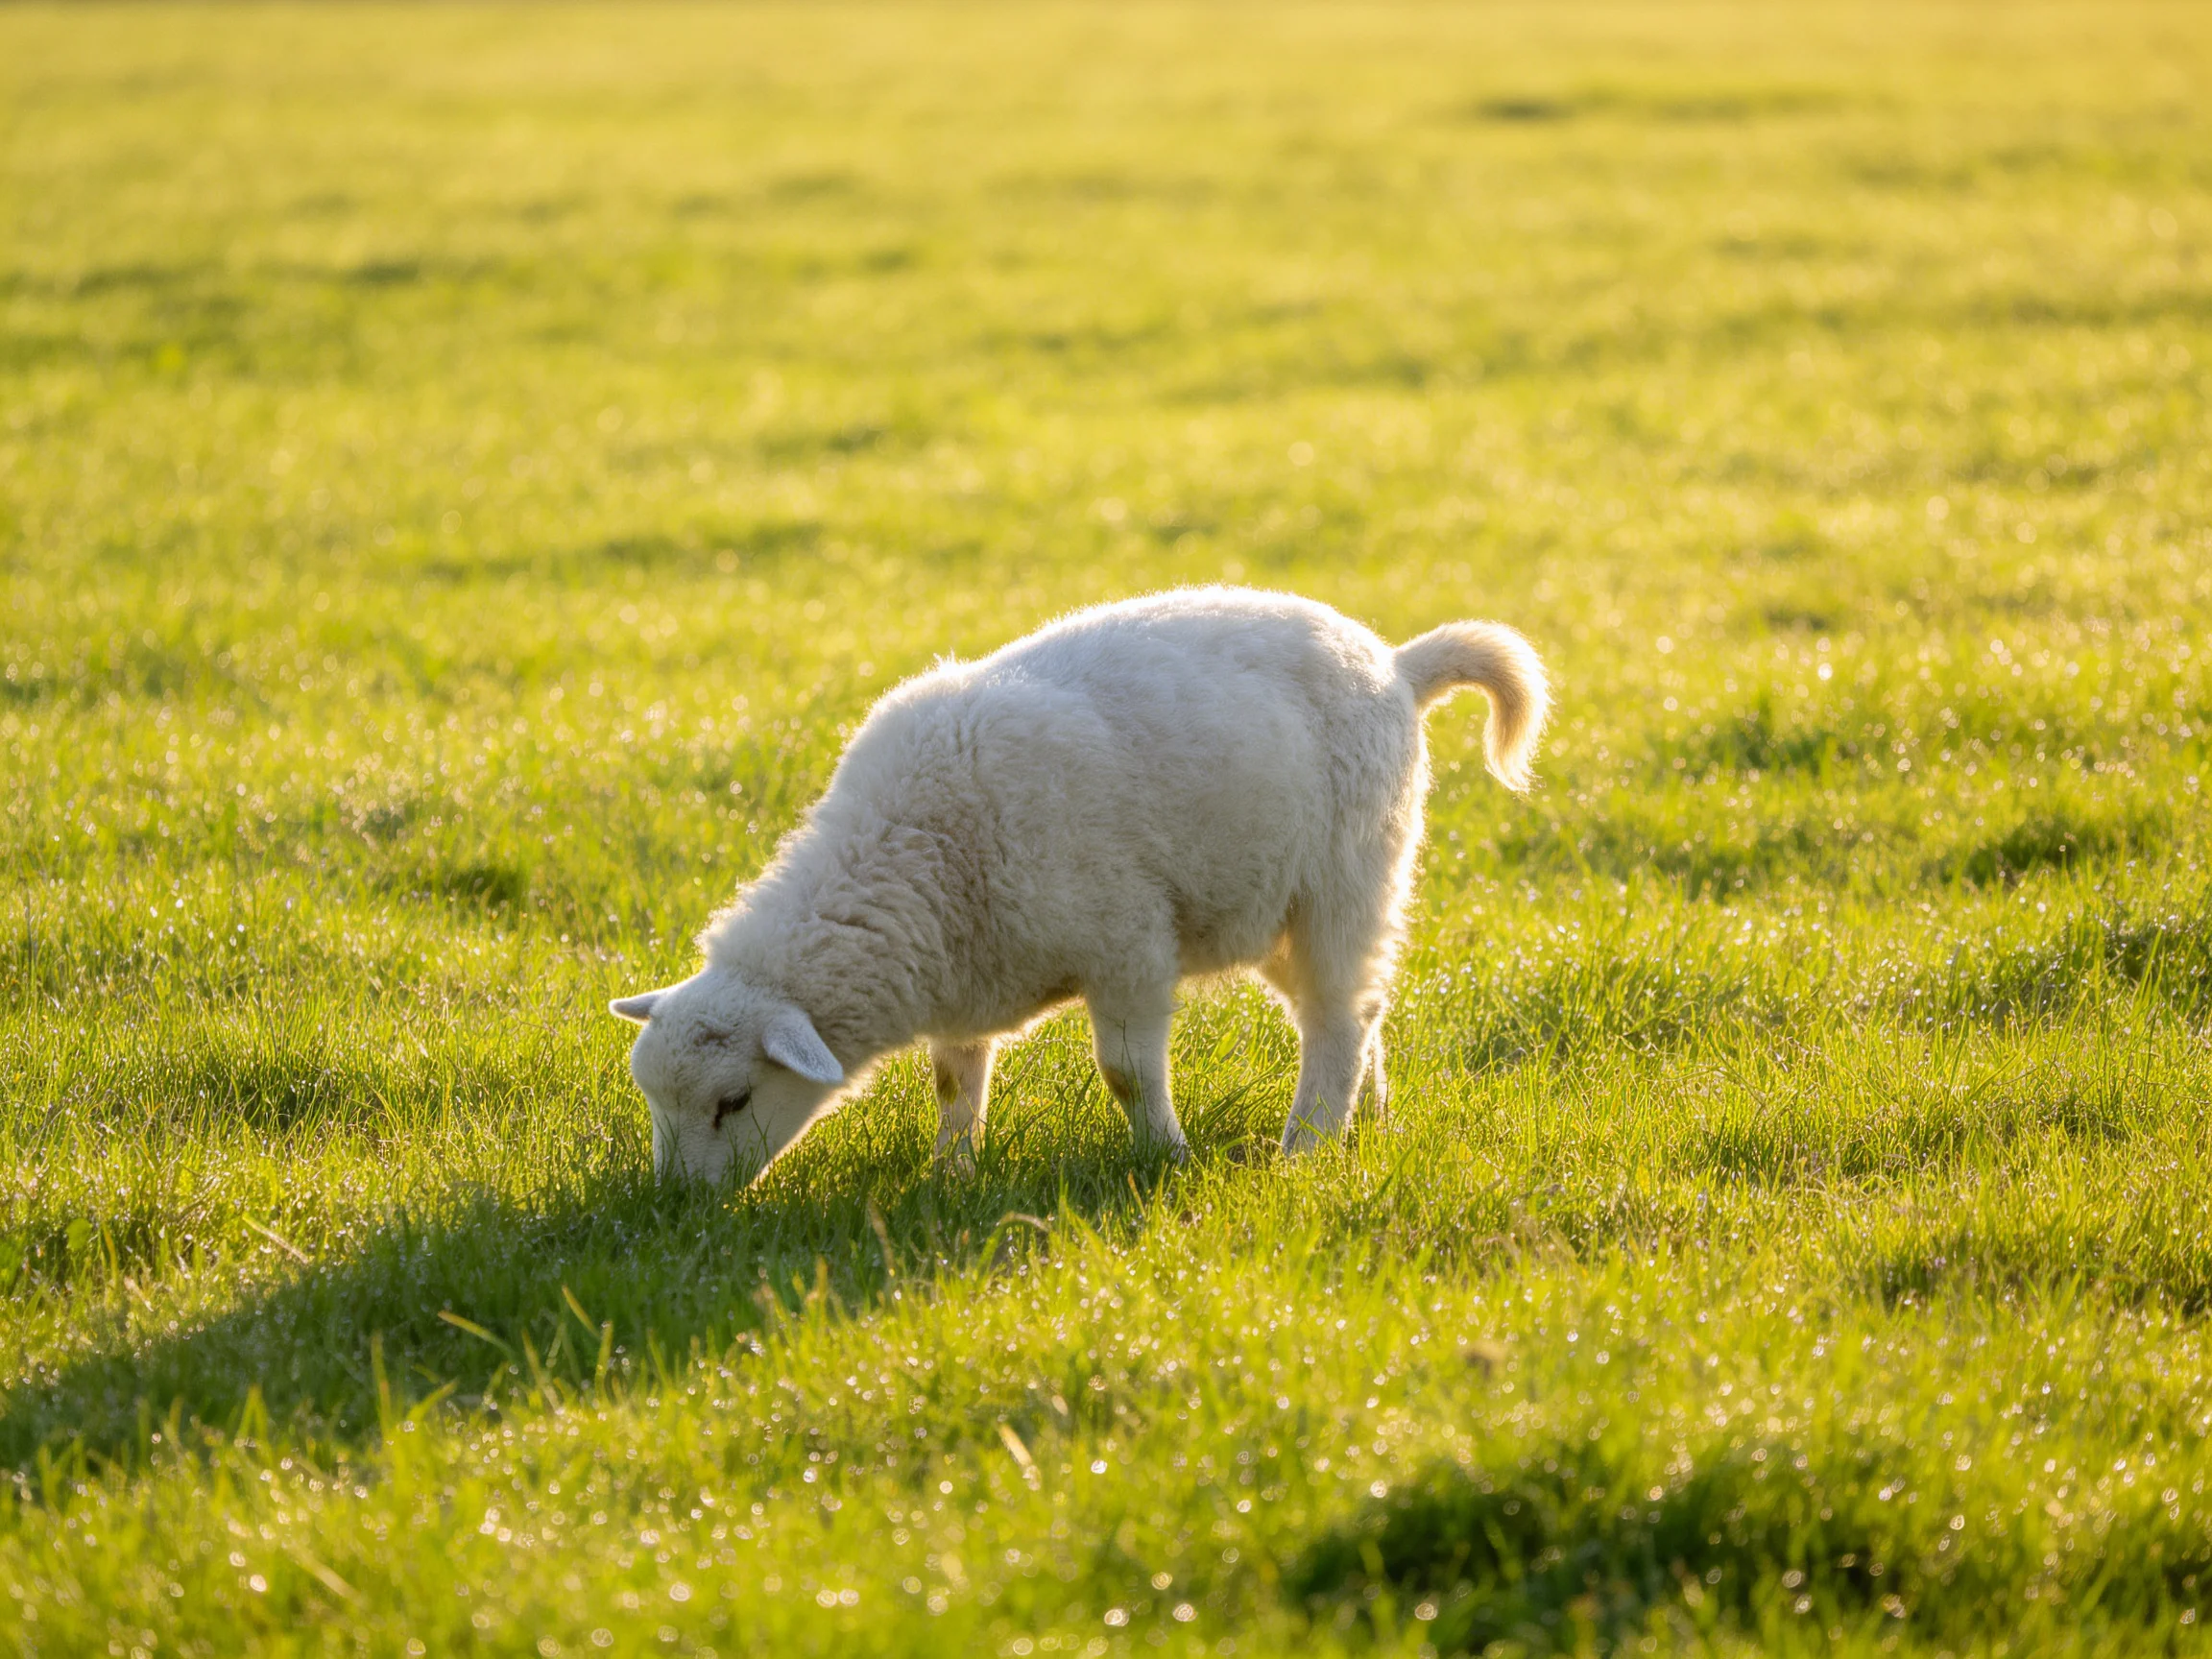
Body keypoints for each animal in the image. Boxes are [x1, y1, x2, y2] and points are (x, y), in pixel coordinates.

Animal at [611, 585, 1547, 1184]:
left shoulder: (1127, 943)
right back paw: (1366, 1121)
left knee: (1337, 1019)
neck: (916, 854)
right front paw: (950, 1172)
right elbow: (955, 1082)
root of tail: (1396, 664)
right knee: (1364, 1007)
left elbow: (1127, 1073)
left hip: (1346, 878)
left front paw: (1166, 1159)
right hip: (1274, 905)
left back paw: (1306, 1150)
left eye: (734, 1101)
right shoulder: (961, 983)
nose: (678, 1208)